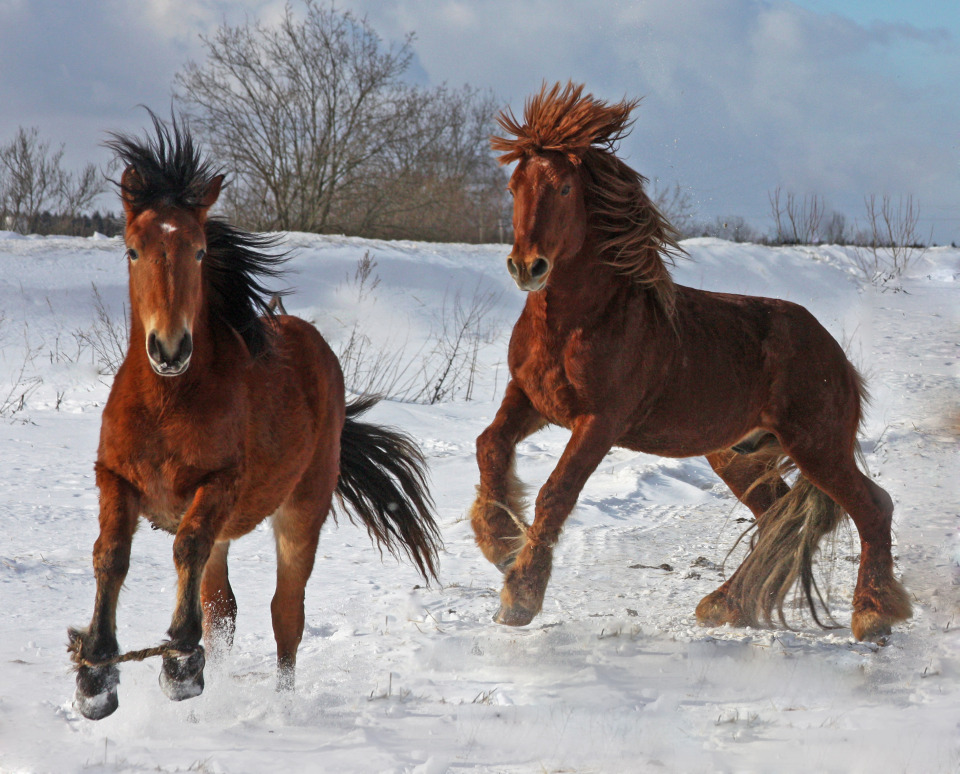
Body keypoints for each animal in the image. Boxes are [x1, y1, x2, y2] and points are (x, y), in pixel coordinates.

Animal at [68, 116, 442, 720]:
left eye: (199, 252)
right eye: (132, 251)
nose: (169, 348)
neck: (167, 401)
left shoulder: (219, 484)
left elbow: (185, 547)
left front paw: (179, 663)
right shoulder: (115, 478)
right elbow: (111, 556)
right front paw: (96, 672)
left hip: (301, 511)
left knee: (285, 613)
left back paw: (279, 704)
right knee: (222, 607)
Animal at [468, 83, 912, 644]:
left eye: (565, 188)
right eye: (514, 187)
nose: (527, 266)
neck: (575, 324)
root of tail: (835, 353)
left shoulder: (599, 422)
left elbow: (555, 493)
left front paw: (519, 597)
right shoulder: (529, 399)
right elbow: (489, 445)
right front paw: (500, 542)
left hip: (817, 445)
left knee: (873, 507)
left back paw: (872, 613)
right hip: (739, 455)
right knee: (778, 517)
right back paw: (726, 604)